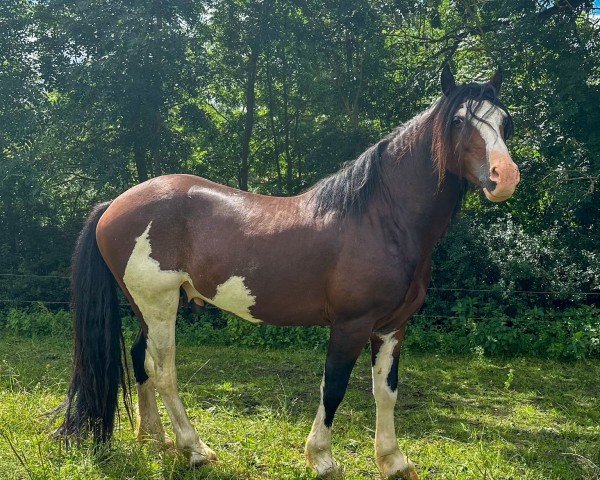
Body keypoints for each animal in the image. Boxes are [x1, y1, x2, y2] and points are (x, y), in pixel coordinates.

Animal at [57, 64, 520, 480]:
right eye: (459, 121)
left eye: (505, 122)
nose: (506, 177)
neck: (380, 219)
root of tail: (114, 205)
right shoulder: (351, 324)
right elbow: (334, 387)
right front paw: (322, 459)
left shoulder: (392, 326)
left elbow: (385, 392)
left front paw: (393, 461)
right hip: (159, 304)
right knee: (164, 371)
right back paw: (196, 450)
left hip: (148, 307)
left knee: (141, 360)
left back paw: (154, 440)